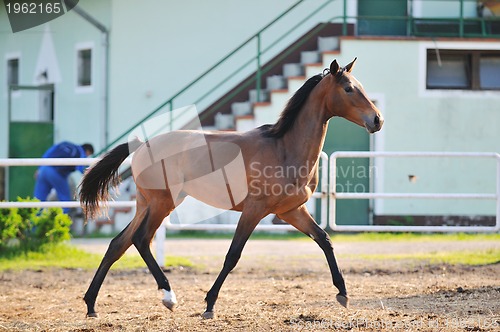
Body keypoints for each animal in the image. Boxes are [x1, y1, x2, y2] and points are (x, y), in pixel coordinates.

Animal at [79, 59, 382, 320]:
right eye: (348, 88)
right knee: (141, 240)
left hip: (146, 205)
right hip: (162, 204)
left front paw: (343, 293)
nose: (377, 119)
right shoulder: (254, 210)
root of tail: (142, 144)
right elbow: (232, 255)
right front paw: (209, 304)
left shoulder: (291, 211)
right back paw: (168, 297)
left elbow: (324, 240)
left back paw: (91, 305)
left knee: (118, 244)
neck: (284, 148)